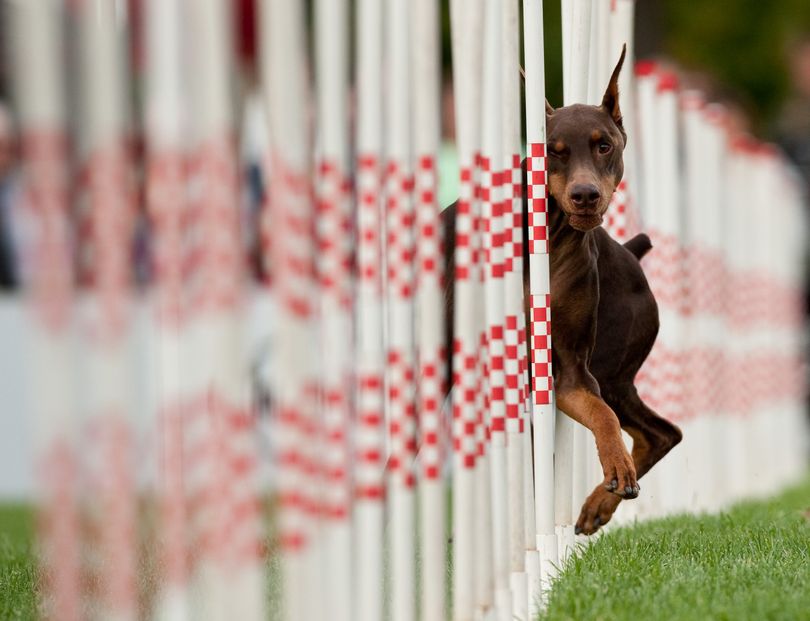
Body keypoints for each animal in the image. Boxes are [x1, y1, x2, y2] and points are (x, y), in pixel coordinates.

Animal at [446, 48, 680, 532]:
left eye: (604, 145)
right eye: (553, 153)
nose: (585, 195)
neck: (550, 240)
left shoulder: (572, 369)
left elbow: (601, 415)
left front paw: (616, 468)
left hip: (613, 368)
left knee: (661, 431)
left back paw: (598, 504)